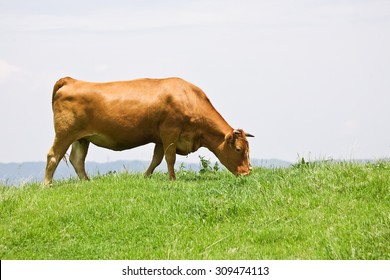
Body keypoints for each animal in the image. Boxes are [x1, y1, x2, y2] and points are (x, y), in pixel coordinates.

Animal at [44, 77, 254, 186]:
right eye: (238, 149)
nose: (247, 173)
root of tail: (72, 80)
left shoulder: (160, 138)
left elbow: (156, 159)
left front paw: (145, 177)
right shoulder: (170, 131)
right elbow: (170, 158)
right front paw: (172, 180)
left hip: (82, 138)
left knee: (77, 160)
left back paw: (87, 182)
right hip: (65, 133)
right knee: (54, 156)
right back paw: (47, 184)